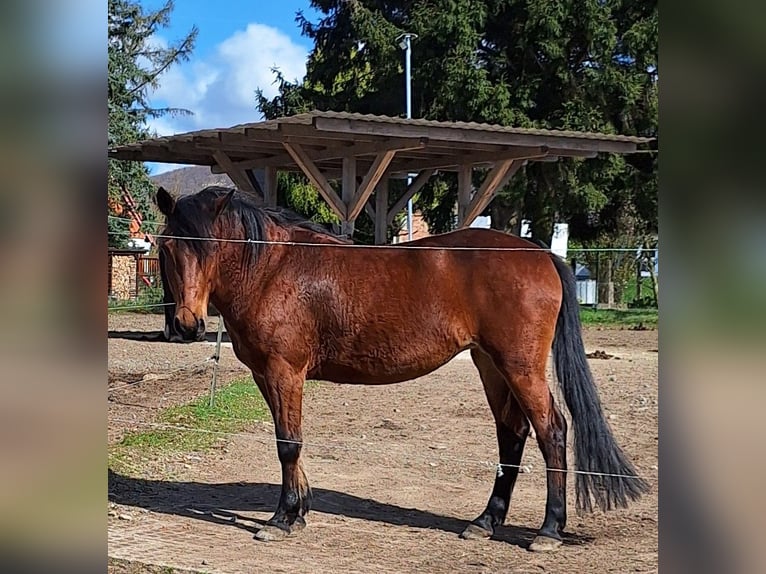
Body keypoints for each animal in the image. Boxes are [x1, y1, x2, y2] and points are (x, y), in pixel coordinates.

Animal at [155, 185, 649, 552]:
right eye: (169, 247)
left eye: (209, 248)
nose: (187, 324)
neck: (274, 269)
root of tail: (540, 254)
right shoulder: (267, 376)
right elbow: (288, 440)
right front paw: (300, 512)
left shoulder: (283, 372)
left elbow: (288, 445)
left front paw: (280, 519)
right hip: (491, 365)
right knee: (512, 435)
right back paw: (484, 522)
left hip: (520, 367)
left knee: (552, 432)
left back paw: (548, 531)